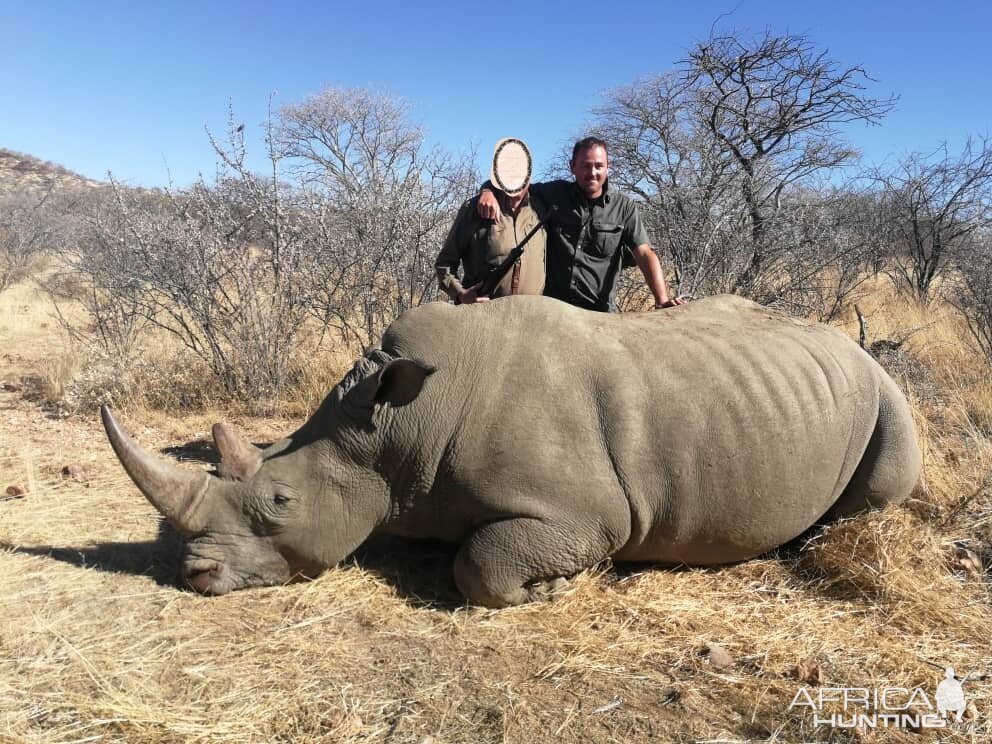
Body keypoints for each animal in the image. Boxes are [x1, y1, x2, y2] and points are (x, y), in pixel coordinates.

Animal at [102, 294, 924, 608]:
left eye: (280, 501)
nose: (193, 576)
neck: (395, 428)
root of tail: (856, 347)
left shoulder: (592, 516)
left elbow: (481, 564)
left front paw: (552, 589)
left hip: (885, 394)